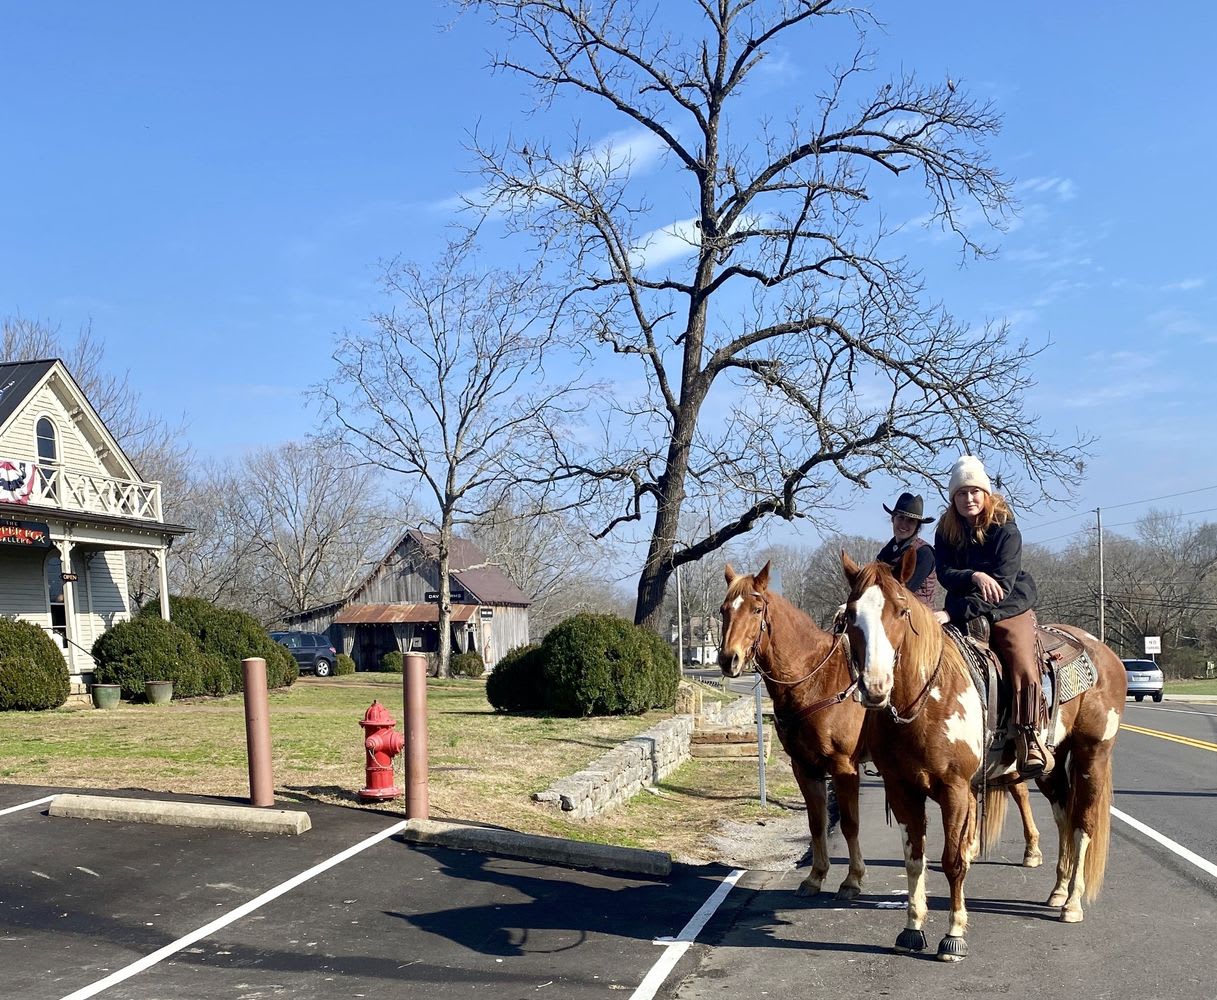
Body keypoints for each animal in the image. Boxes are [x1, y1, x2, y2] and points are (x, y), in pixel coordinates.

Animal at [717, 562, 1044, 902]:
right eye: (723, 609)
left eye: (756, 610)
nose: (728, 659)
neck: (815, 680)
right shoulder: (804, 767)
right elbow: (817, 823)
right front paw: (815, 876)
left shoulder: (843, 766)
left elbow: (849, 824)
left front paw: (852, 879)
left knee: (1020, 790)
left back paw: (1031, 849)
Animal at [839, 548, 1126, 962]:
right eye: (851, 614)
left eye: (901, 610)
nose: (874, 687)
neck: (925, 699)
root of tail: (1102, 652)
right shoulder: (902, 788)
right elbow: (914, 858)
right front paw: (912, 929)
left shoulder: (956, 789)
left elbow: (954, 861)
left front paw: (953, 935)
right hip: (1051, 766)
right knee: (1064, 817)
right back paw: (1057, 892)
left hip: (1093, 755)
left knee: (1083, 823)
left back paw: (1072, 903)